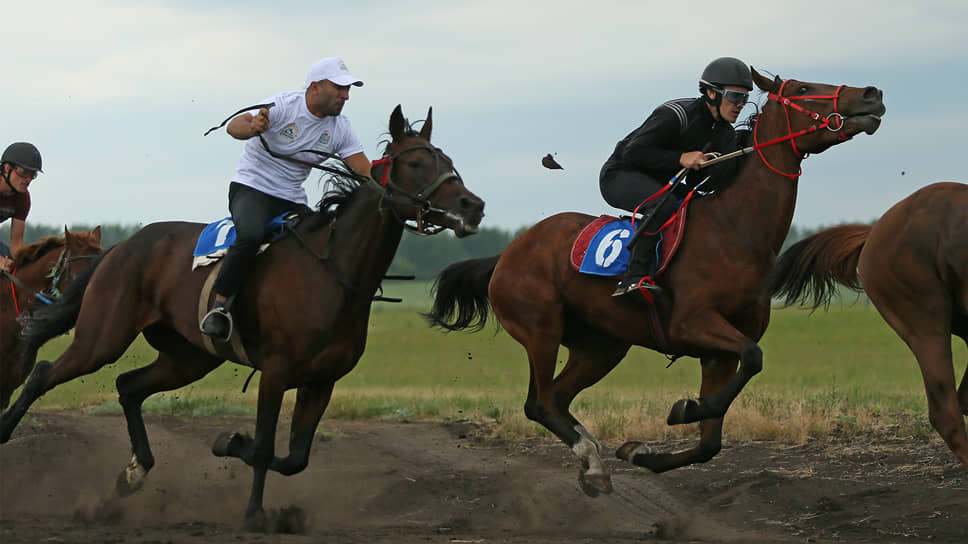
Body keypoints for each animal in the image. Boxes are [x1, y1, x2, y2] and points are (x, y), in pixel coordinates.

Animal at [428, 69, 880, 498]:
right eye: (802, 88)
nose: (872, 94)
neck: (735, 230)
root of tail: (506, 254)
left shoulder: (718, 351)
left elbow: (711, 441)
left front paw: (643, 448)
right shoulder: (693, 323)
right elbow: (753, 359)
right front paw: (686, 408)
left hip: (601, 346)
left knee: (556, 397)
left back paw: (594, 458)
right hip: (541, 328)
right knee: (539, 403)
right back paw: (591, 459)